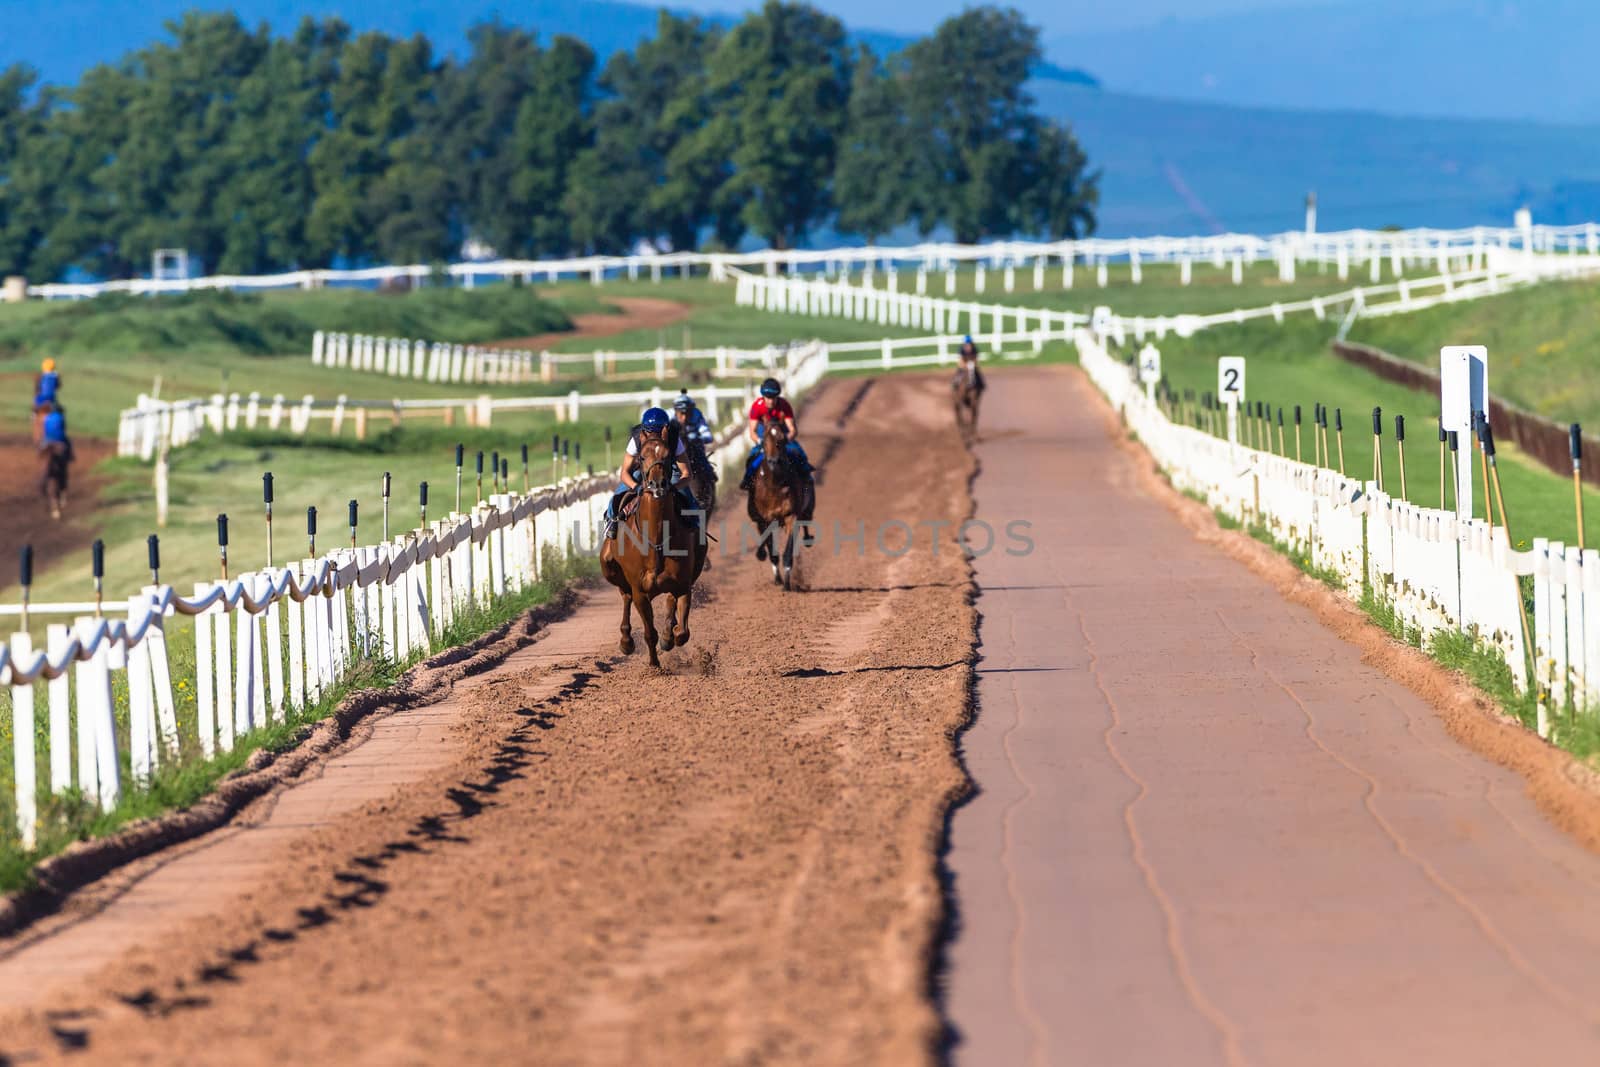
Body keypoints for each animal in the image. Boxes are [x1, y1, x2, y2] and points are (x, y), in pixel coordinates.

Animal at [601, 435, 707, 668]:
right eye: (641, 457)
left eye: (668, 456)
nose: (657, 484)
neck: (656, 539)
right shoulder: (640, 590)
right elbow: (649, 632)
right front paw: (654, 665)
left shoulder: (683, 584)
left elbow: (682, 632)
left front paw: (669, 637)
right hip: (609, 568)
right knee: (625, 595)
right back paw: (626, 641)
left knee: (668, 603)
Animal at [739, 415, 806, 588]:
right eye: (763, 441)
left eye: (781, 439)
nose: (773, 462)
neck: (775, 483)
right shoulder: (766, 519)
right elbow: (770, 547)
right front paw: (777, 578)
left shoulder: (791, 515)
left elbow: (788, 550)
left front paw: (787, 581)